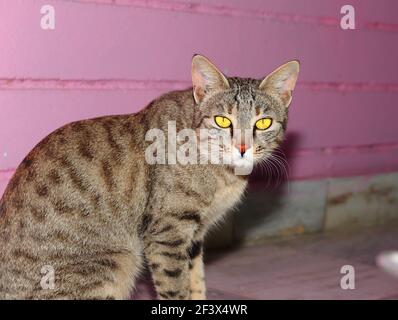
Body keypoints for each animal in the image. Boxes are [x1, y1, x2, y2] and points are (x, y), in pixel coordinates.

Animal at [0, 55, 298, 300]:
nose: (243, 147)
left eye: (263, 122)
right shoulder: (168, 232)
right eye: (222, 121)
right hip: (115, 263)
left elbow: (196, 282)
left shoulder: (195, 235)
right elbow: (176, 288)